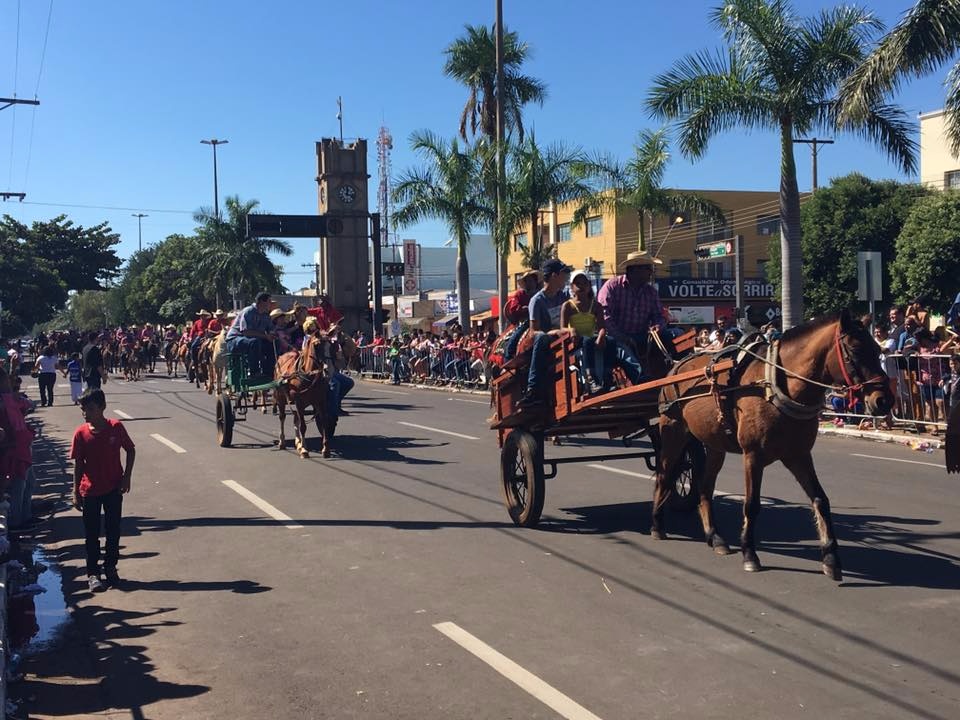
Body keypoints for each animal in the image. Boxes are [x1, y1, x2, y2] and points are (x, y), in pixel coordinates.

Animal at [652, 312, 892, 584]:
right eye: (855, 349)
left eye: (877, 350)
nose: (884, 401)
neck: (775, 386)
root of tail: (676, 365)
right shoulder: (753, 456)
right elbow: (752, 504)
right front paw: (750, 554)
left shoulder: (799, 455)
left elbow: (820, 500)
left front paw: (831, 558)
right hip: (673, 431)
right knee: (664, 476)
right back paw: (657, 525)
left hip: (715, 445)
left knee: (704, 487)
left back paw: (715, 537)